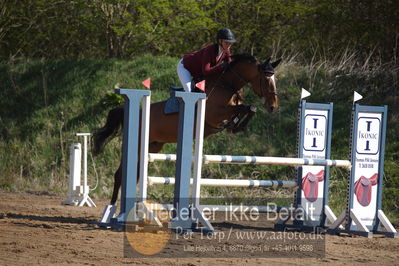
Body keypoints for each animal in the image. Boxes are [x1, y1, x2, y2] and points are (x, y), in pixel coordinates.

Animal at [92, 53, 282, 205]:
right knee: (119, 175)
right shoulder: (214, 114)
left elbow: (249, 108)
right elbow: (244, 108)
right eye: (265, 79)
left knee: (134, 175)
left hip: (152, 146)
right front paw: (235, 125)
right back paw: (111, 210)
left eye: (275, 79)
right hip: (137, 145)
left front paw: (236, 126)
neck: (227, 85)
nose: (273, 106)